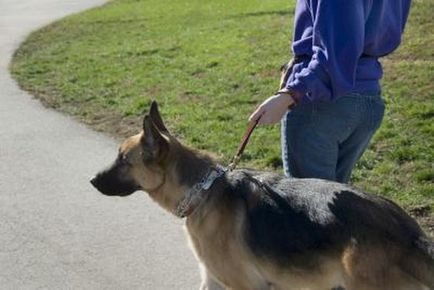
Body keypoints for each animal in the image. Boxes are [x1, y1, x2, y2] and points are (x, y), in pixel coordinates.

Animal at [90, 101, 432, 288]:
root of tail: (409, 231)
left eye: (123, 160)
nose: (91, 180)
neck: (202, 191)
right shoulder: (213, 281)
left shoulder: (243, 286)